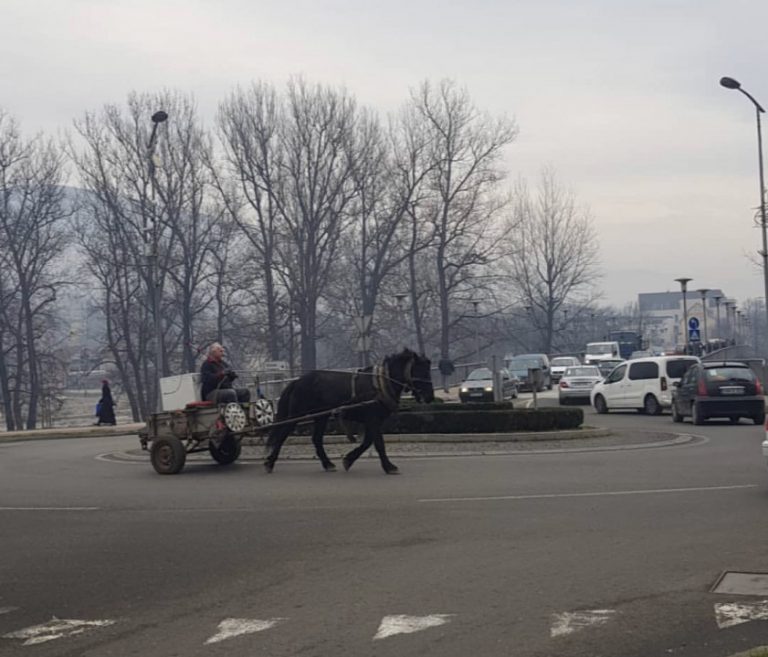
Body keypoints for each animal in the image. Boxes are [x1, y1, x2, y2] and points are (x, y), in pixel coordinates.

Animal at [262, 346, 432, 474]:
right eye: (421, 371)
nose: (430, 396)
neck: (380, 383)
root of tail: (297, 381)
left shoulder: (373, 421)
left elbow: (368, 441)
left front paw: (349, 460)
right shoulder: (373, 419)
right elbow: (378, 443)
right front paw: (389, 466)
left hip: (321, 417)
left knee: (316, 439)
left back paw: (328, 464)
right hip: (297, 414)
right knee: (283, 434)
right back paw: (270, 463)